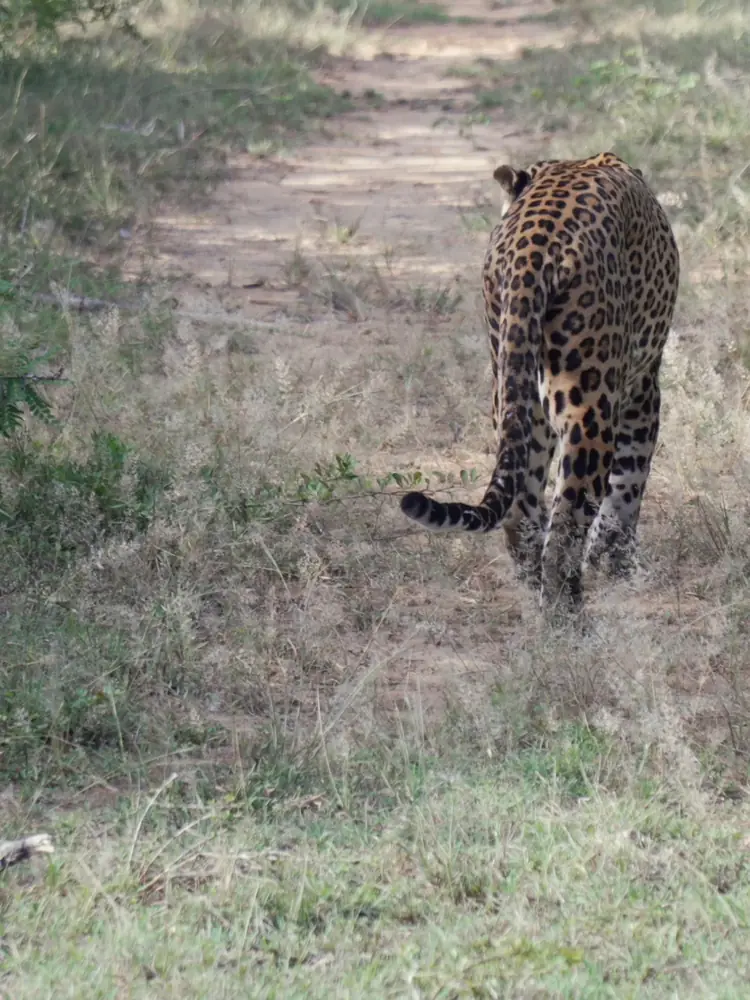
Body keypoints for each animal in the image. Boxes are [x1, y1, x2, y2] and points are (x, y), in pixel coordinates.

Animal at [400, 152, 680, 616]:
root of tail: (532, 247)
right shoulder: (643, 386)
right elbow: (629, 485)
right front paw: (619, 565)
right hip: (589, 401)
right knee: (566, 524)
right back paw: (568, 617)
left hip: (517, 394)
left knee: (520, 510)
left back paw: (535, 589)